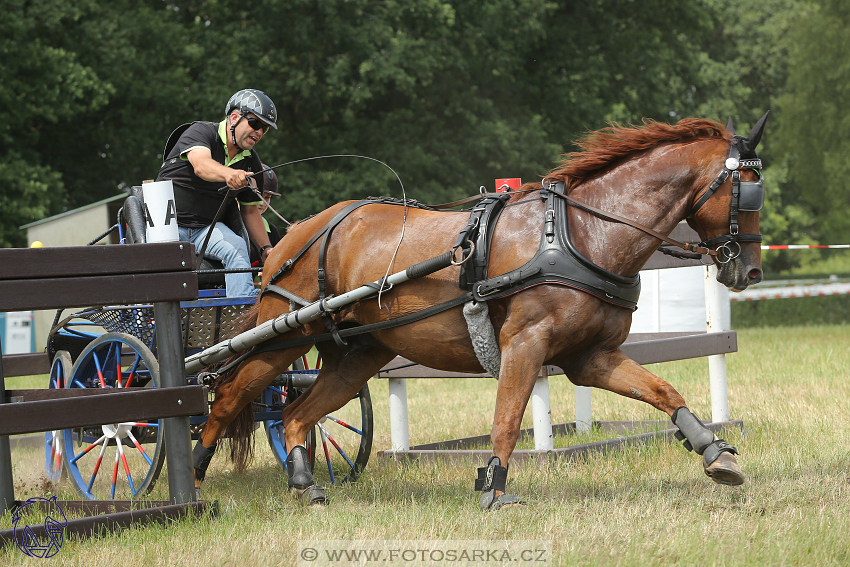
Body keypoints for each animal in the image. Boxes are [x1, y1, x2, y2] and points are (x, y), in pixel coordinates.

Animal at [194, 115, 768, 510]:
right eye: (747, 192)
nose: (749, 272)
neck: (580, 234)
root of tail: (295, 235)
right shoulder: (525, 345)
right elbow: (508, 420)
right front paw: (493, 486)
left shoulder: (592, 357)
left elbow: (663, 391)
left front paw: (714, 450)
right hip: (281, 337)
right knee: (225, 399)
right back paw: (194, 477)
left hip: (357, 355)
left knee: (294, 415)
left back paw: (305, 484)